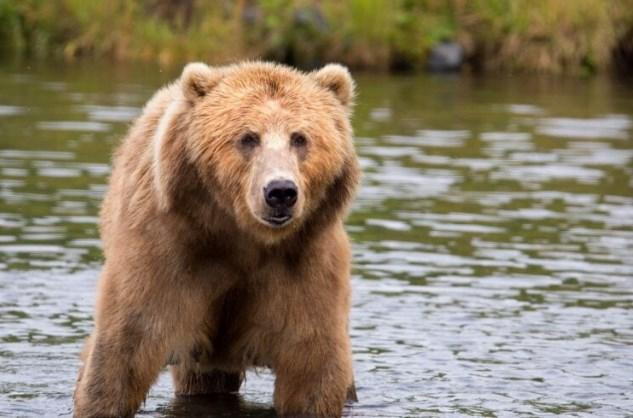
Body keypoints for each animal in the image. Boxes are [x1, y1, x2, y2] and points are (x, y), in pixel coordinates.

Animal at [73, 62, 360, 418]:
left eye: (300, 138)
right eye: (248, 137)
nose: (281, 191)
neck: (241, 236)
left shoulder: (304, 262)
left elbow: (312, 364)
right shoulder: (167, 250)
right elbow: (125, 346)